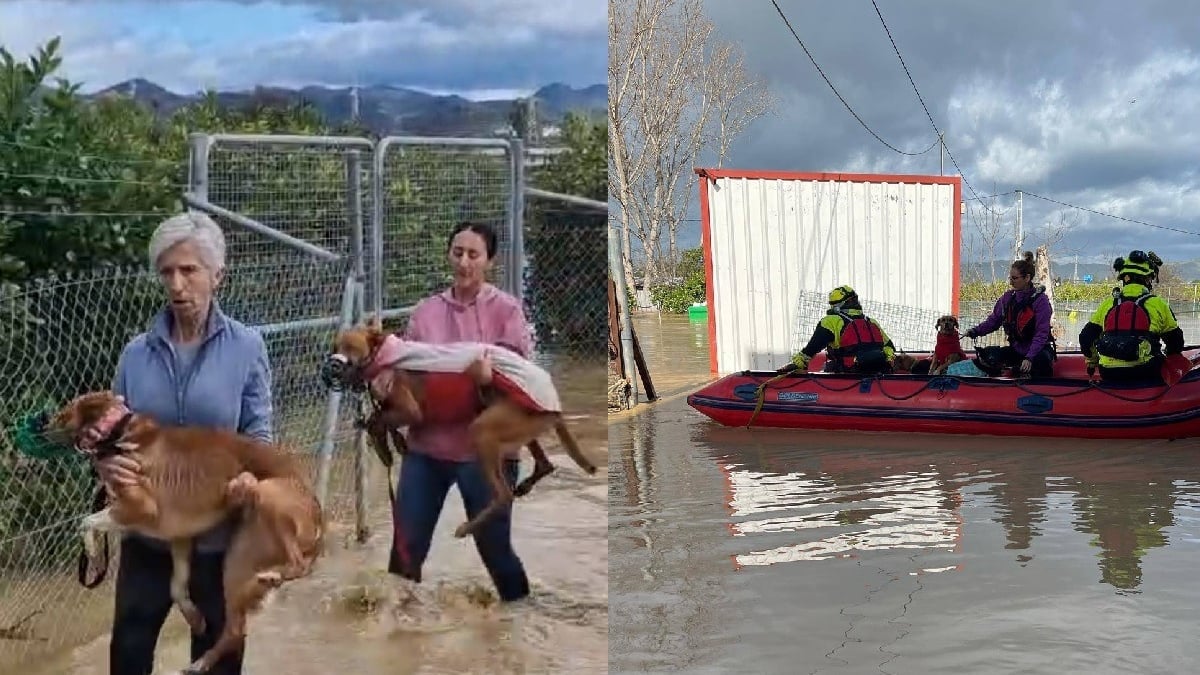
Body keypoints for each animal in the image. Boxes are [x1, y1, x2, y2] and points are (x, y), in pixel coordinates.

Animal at [41, 389, 324, 672]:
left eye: (62, 414)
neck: (119, 433)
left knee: (299, 565)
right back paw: (201, 662)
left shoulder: (139, 509)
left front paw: (91, 550)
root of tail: (318, 516)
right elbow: (176, 587)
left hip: (267, 495)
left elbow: (86, 521)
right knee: (235, 630)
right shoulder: (180, 538)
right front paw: (194, 618)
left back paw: (275, 575)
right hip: (237, 561)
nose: (41, 428)